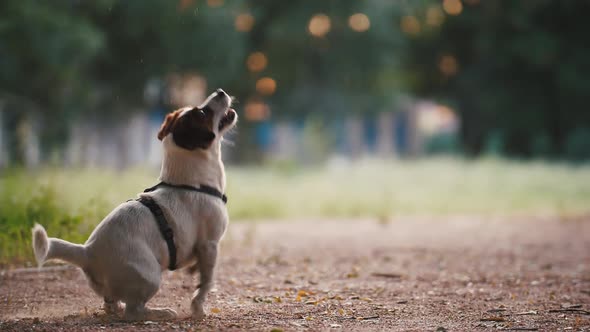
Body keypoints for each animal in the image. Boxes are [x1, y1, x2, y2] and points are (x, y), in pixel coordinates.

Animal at [31, 89, 238, 322]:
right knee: (134, 311)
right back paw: (160, 312)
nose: (220, 92)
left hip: (116, 288)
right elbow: (206, 282)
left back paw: (118, 308)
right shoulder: (209, 245)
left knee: (110, 303)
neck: (192, 183)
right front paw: (198, 307)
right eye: (203, 112)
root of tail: (87, 252)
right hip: (150, 276)